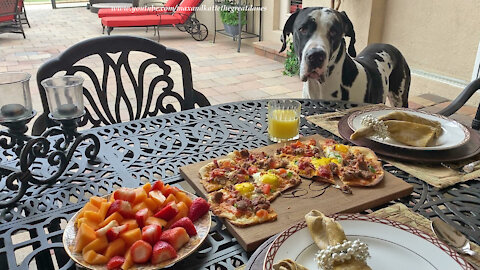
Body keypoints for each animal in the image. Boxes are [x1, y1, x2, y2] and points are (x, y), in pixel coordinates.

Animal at [280, 7, 410, 106]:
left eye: (334, 31)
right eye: (302, 29)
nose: (316, 56)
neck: (321, 87)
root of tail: (390, 46)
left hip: (400, 98)